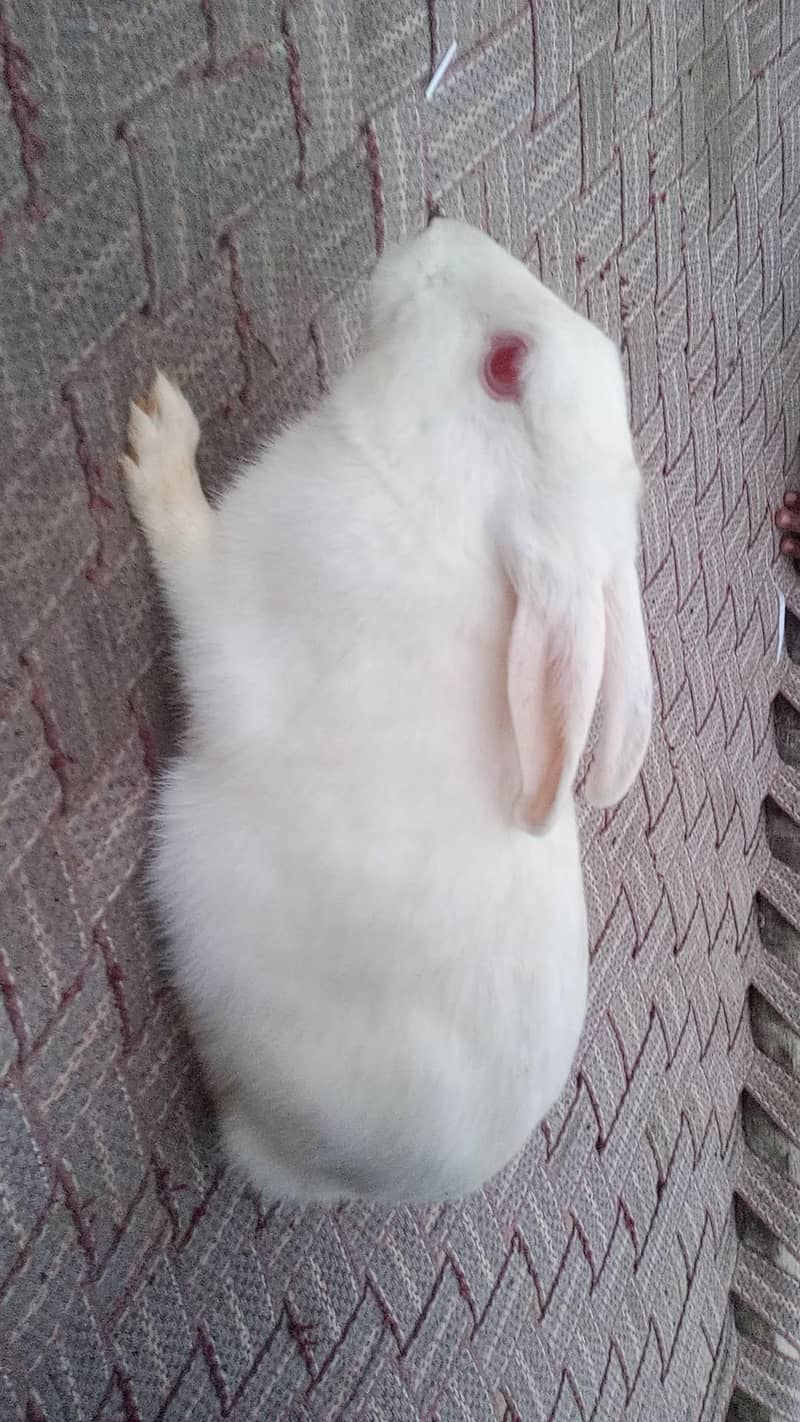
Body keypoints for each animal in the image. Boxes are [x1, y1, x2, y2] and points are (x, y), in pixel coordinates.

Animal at [121, 218, 652, 1204]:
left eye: (505, 366)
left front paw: (159, 441)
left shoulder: (230, 604)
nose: (440, 226)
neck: (438, 499)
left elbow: (185, 550)